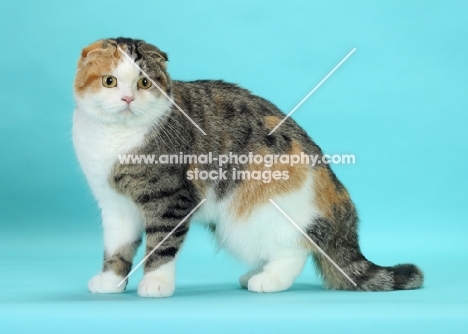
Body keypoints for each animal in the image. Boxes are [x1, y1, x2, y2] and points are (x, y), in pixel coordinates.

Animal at [73, 37, 424, 298]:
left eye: (144, 82)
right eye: (110, 81)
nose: (128, 99)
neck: (115, 138)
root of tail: (338, 201)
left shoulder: (171, 199)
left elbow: (161, 244)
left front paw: (156, 283)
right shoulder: (115, 206)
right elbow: (117, 248)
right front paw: (110, 281)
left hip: (250, 217)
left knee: (296, 248)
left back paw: (269, 279)